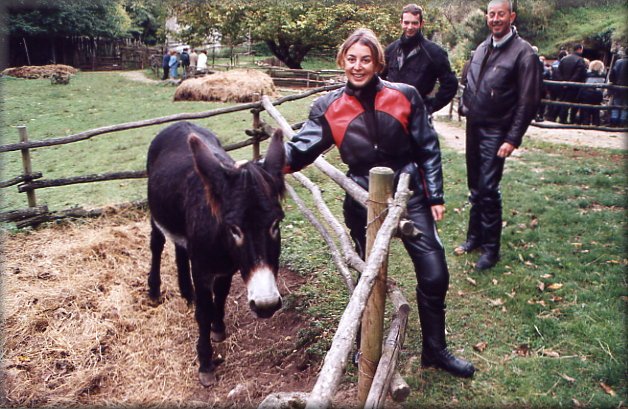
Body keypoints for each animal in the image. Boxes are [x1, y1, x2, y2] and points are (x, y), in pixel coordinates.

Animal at [146, 121, 286, 386]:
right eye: (234, 229)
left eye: (276, 223)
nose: (266, 305)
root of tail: (179, 123)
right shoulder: (202, 269)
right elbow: (203, 311)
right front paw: (205, 362)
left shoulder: (228, 268)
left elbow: (221, 295)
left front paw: (218, 327)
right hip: (155, 214)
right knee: (157, 244)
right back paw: (155, 291)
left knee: (180, 250)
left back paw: (186, 292)